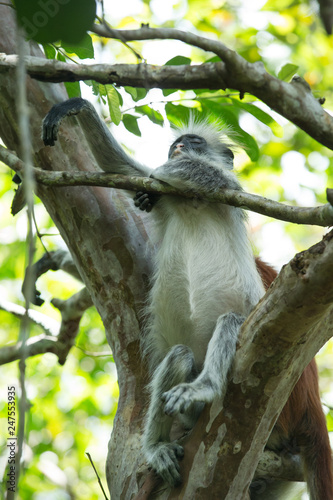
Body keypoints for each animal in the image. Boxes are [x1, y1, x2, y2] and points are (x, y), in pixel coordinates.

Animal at [43, 98, 332, 500]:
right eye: (176, 143)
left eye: (194, 142)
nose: (178, 147)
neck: (191, 206)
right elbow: (121, 168)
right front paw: (76, 108)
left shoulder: (221, 186)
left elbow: (185, 173)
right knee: (179, 355)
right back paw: (158, 447)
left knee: (230, 321)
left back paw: (205, 387)